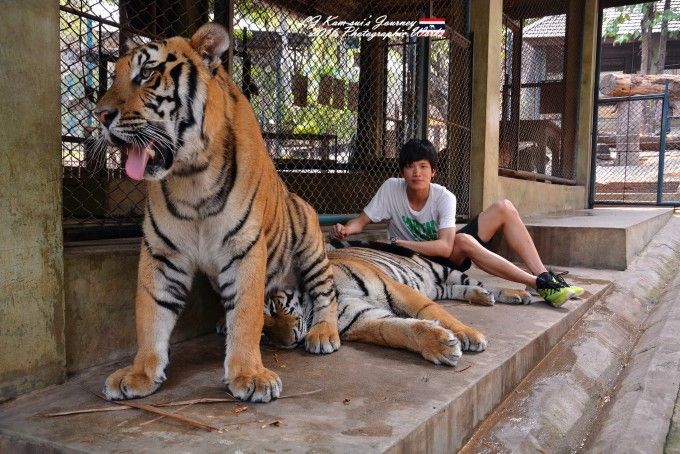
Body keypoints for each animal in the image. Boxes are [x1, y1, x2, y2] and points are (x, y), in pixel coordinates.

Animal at [93, 23, 340, 402]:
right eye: (114, 75)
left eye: (146, 73)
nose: (100, 115)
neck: (190, 176)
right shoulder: (161, 252)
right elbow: (150, 312)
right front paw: (139, 373)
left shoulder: (244, 248)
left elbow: (248, 314)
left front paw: (249, 375)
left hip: (311, 247)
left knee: (326, 293)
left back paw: (324, 334)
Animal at [222, 241, 532, 366]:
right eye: (263, 333)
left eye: (274, 309)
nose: (287, 343)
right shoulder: (364, 318)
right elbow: (397, 330)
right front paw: (441, 346)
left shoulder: (397, 289)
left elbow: (430, 311)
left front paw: (469, 335)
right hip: (439, 286)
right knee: (457, 290)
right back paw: (483, 297)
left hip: (442, 270)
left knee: (480, 282)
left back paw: (516, 293)